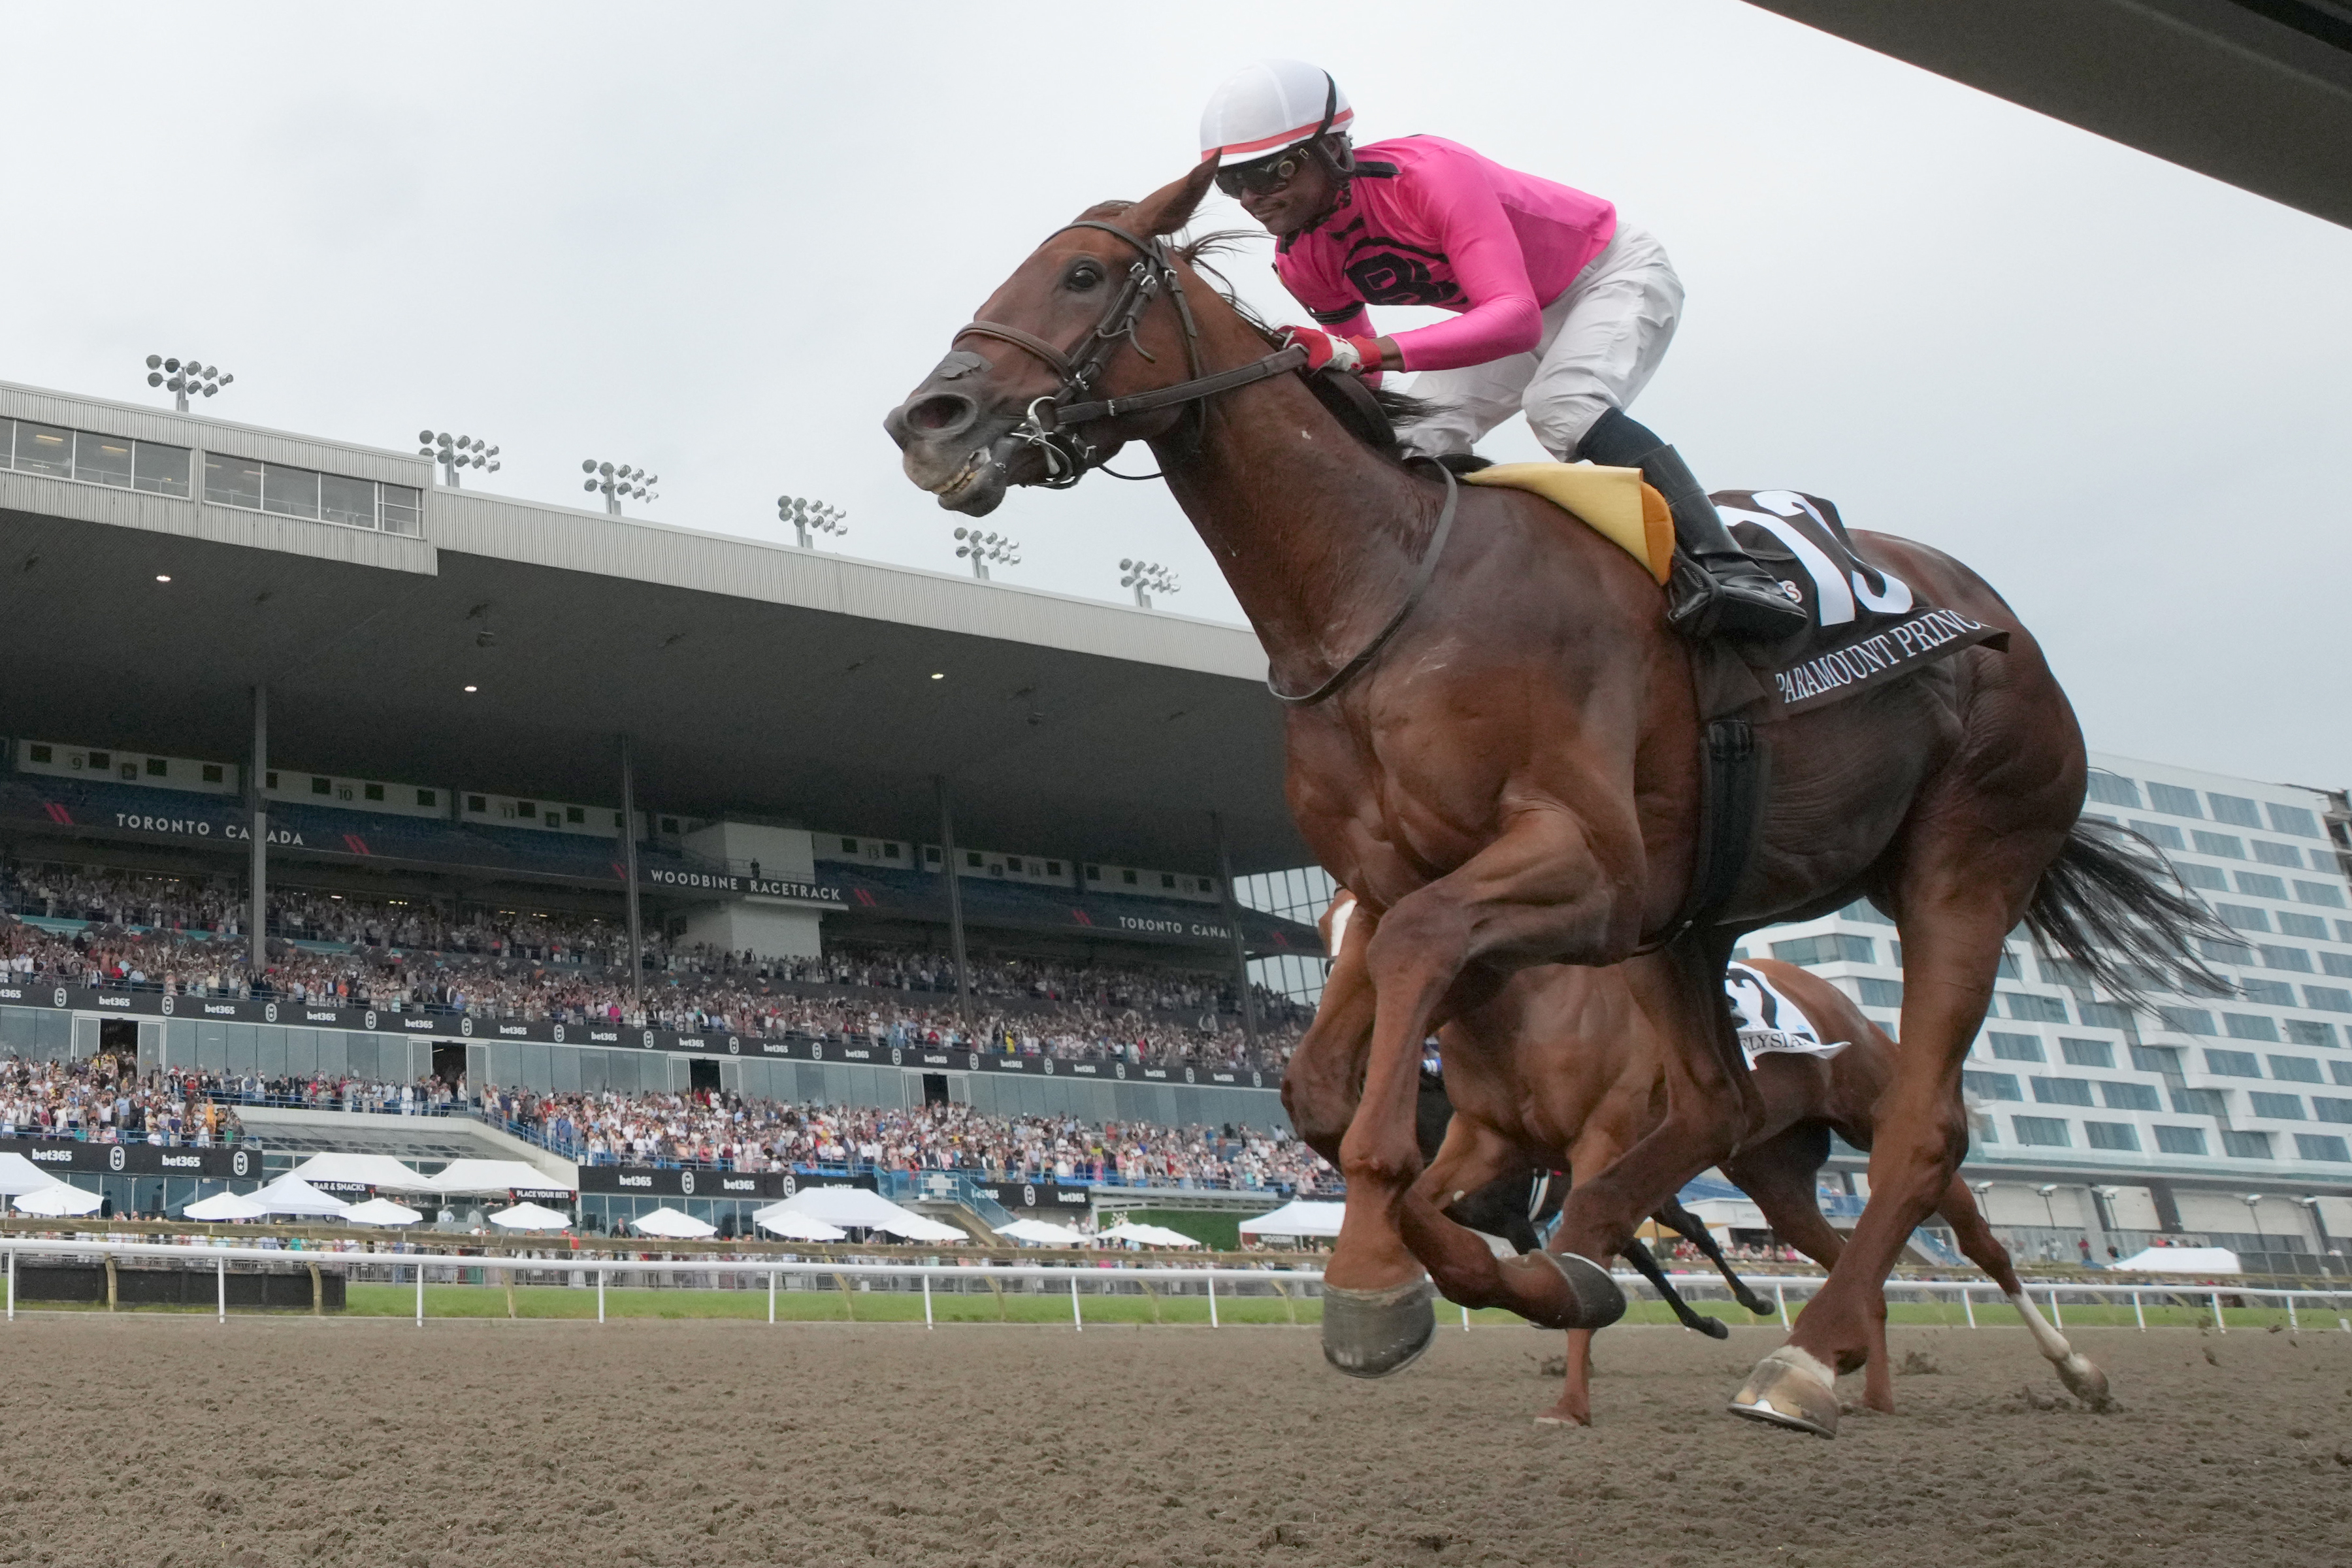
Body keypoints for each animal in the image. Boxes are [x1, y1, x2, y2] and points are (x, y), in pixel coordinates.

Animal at [889, 159, 2192, 1439]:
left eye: (1083, 273)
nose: (924, 421)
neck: (1381, 584)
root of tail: (1996, 616)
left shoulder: (1580, 865)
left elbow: (1402, 1044)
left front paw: (1381, 1275)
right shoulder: (1391, 879)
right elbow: (1328, 1099)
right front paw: (1474, 1269)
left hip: (1965, 858)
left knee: (1928, 1141)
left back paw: (1833, 1361)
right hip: (1693, 924)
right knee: (1720, 1110)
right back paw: (1650, 1285)